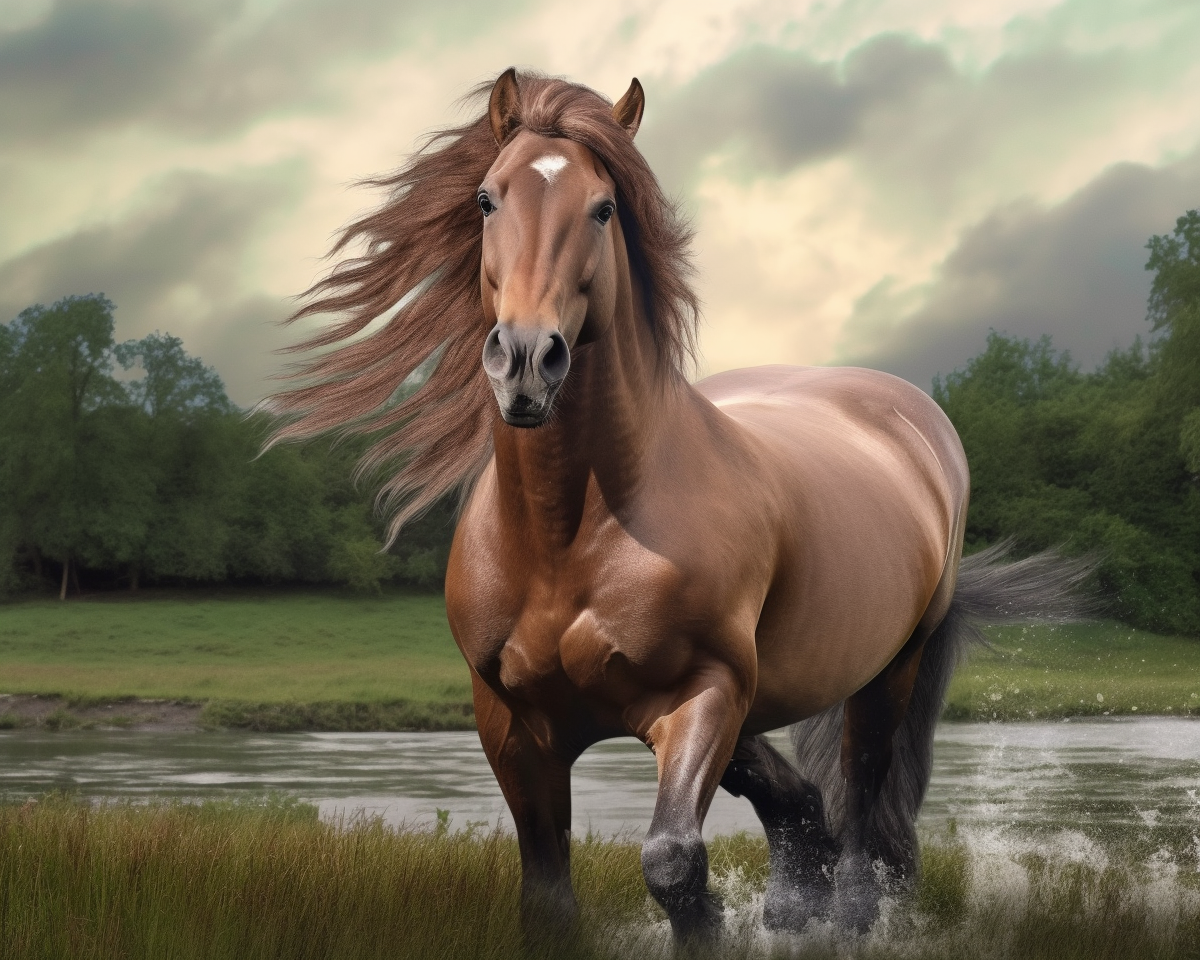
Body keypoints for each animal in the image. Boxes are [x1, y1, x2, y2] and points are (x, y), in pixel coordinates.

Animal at [269, 69, 1089, 943]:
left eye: (603, 208)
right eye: (487, 199)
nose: (525, 361)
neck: (568, 535)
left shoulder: (703, 693)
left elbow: (672, 862)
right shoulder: (514, 724)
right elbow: (547, 894)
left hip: (883, 671)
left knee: (861, 797)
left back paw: (850, 914)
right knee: (798, 797)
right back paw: (791, 906)